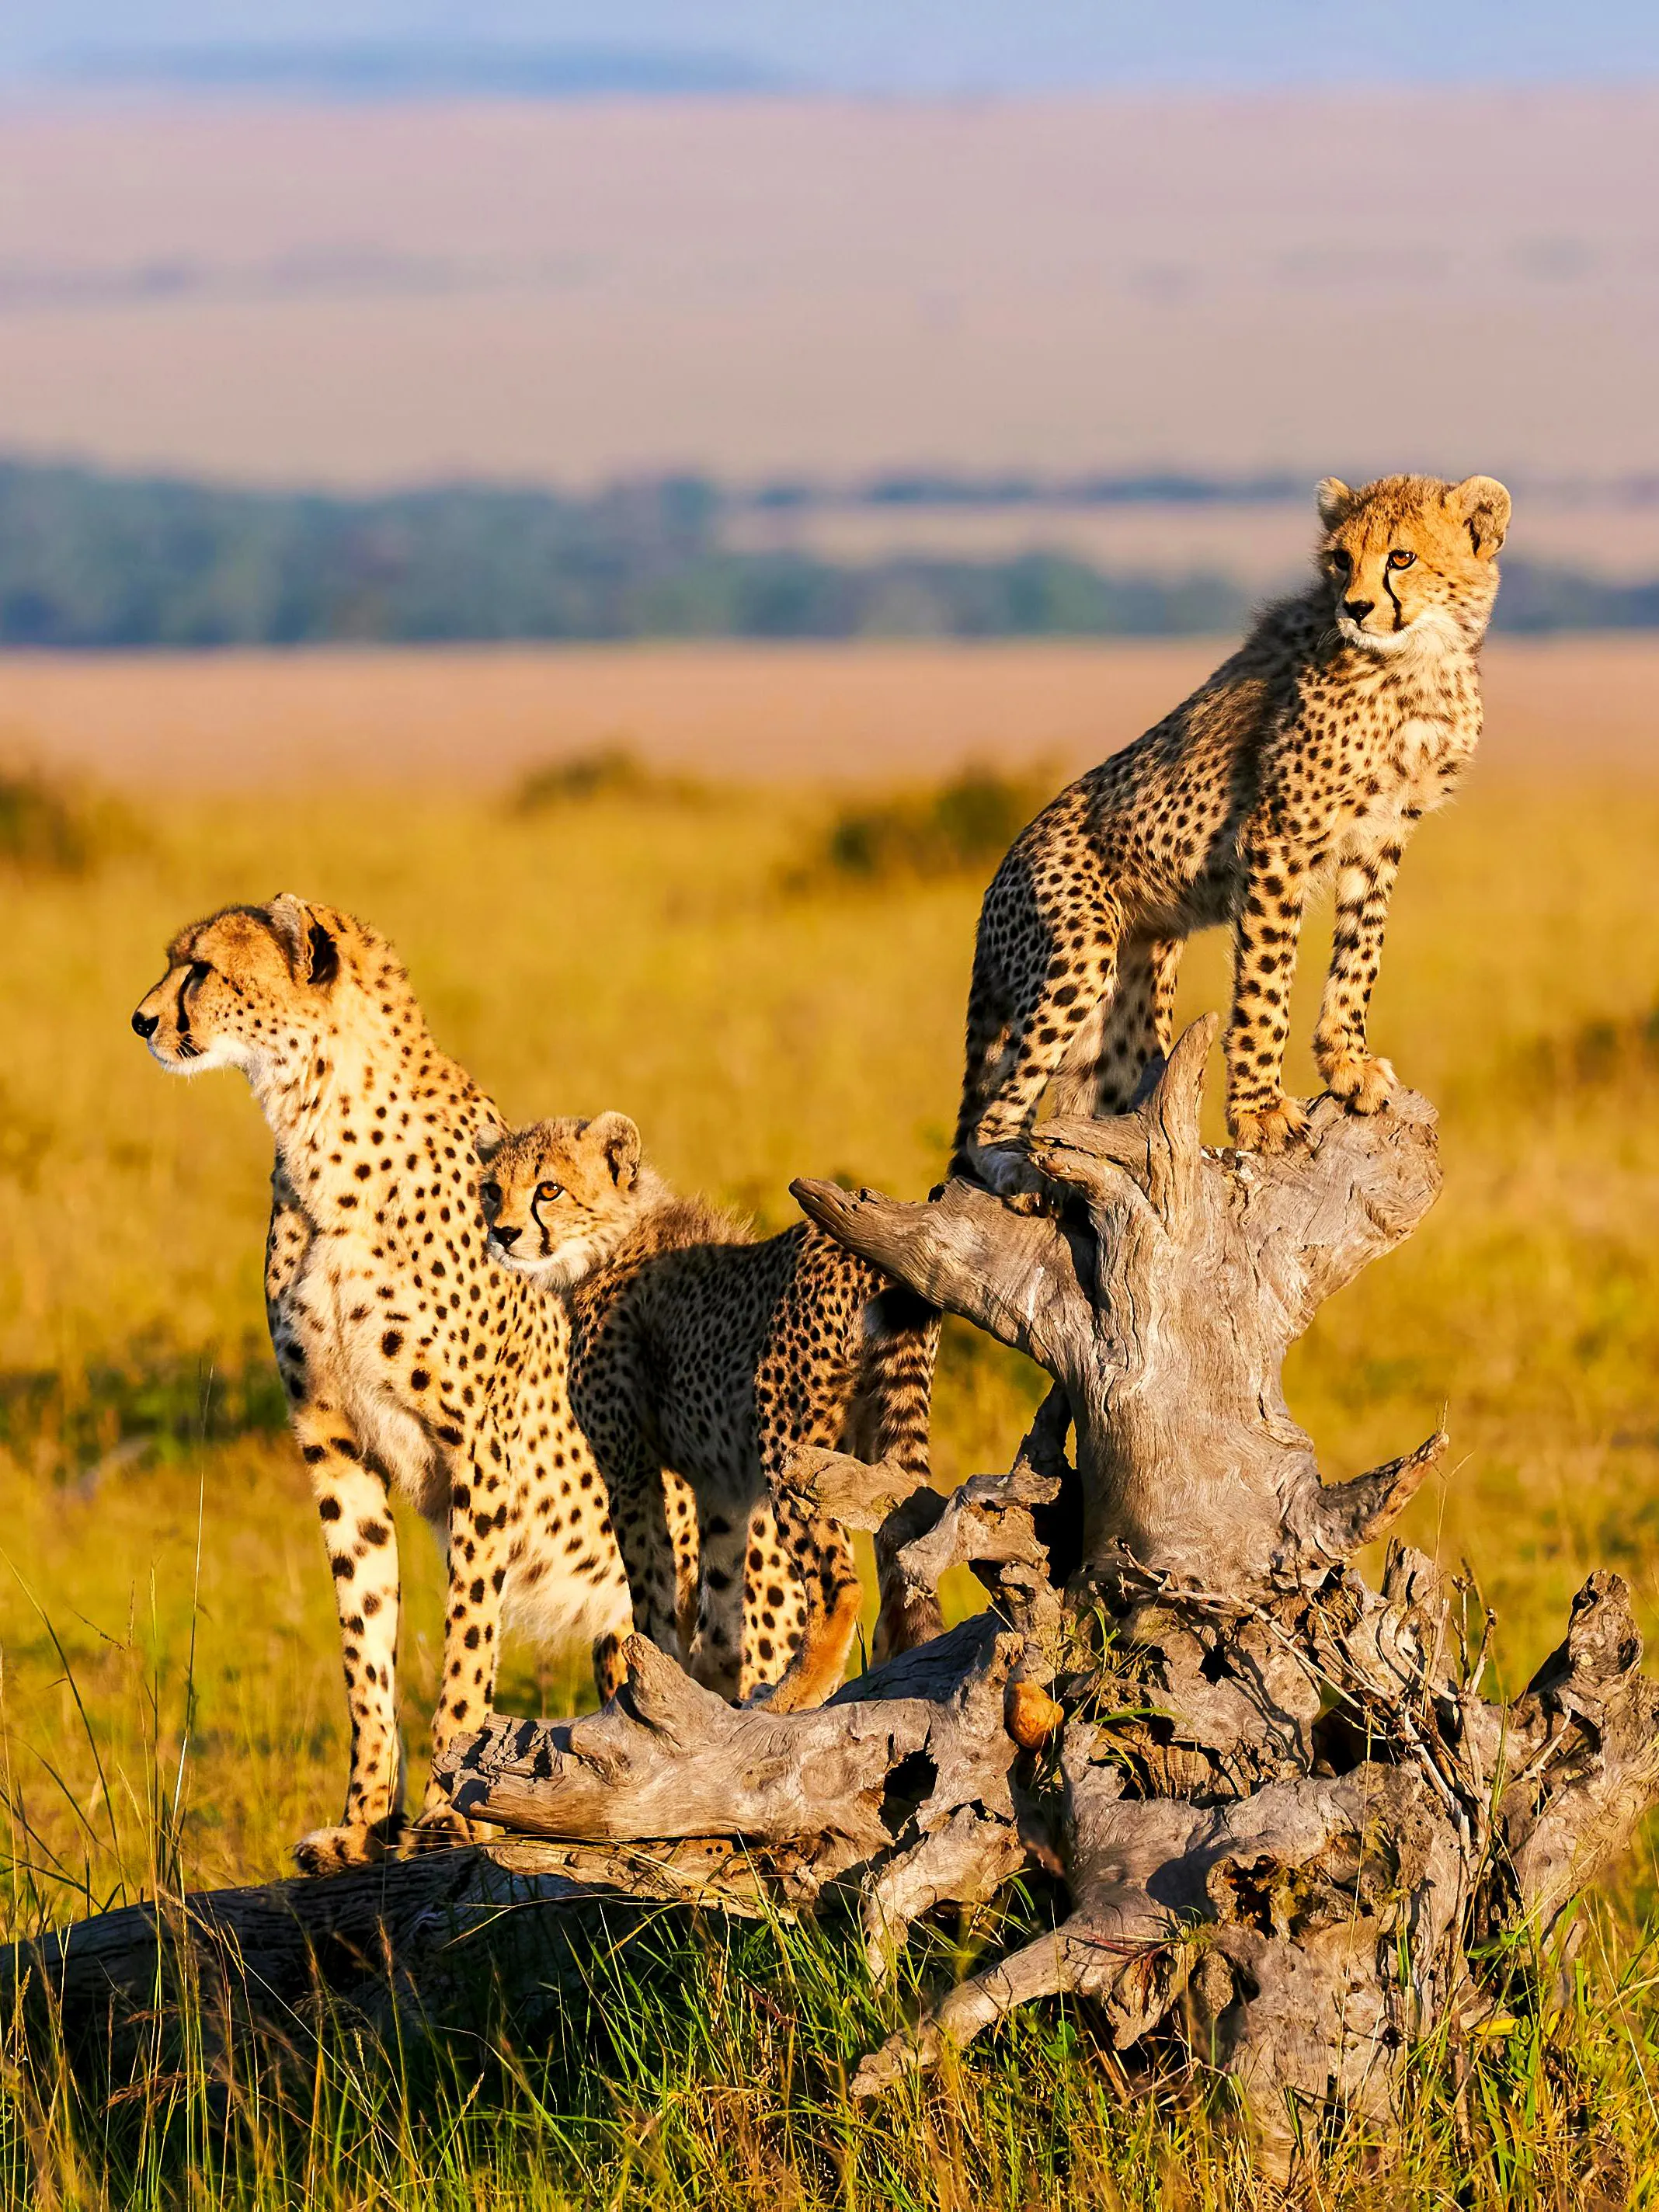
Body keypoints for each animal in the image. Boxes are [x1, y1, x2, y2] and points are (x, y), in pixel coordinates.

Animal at [130, 895, 697, 1871]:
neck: (318, 1128)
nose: (141, 1020)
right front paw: (363, 1821)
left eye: (200, 968)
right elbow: (366, 1646)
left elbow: (467, 1643)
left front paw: (449, 1811)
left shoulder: (482, 1453)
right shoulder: (333, 1443)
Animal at [477, 1112, 942, 1710]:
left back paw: (792, 1695)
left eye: (548, 1189)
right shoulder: (721, 1483)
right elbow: (719, 1593)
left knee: (838, 1582)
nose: (503, 1233)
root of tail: (860, 1255)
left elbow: (650, 1585)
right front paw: (711, 1686)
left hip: (789, 1444)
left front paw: (650, 1679)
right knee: (900, 1564)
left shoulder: (630, 1469)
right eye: (493, 1190)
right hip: (877, 1446)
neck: (607, 1245)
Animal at [951, 471, 1511, 1185]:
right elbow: (1265, 985)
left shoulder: (1382, 836)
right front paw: (1260, 1112)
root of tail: (999, 874)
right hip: (1079, 950)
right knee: (992, 1114)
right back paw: (1016, 1171)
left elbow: (1361, 951)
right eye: (1340, 559)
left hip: (1132, 991)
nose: (1356, 607)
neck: (1419, 664)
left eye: (1401, 558)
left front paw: (1347, 1063)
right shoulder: (1278, 839)